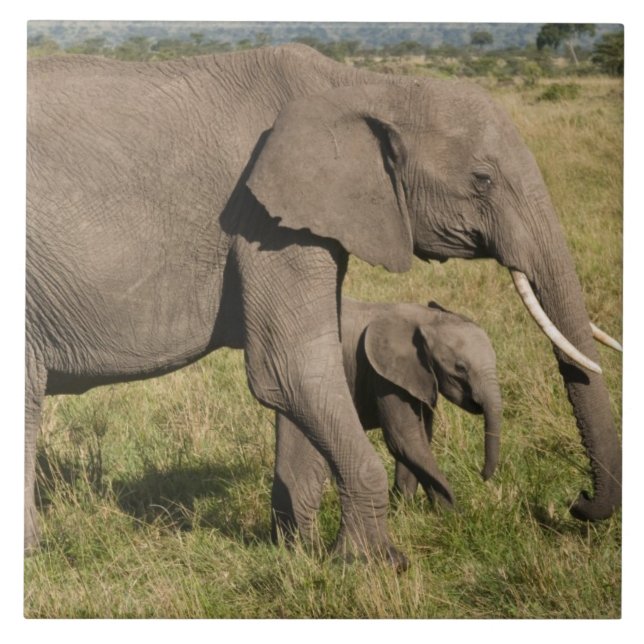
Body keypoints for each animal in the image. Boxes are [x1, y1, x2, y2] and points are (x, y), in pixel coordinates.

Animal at [271, 298, 502, 543]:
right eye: (460, 368)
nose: (481, 475)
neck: (425, 318)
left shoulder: (417, 377)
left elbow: (419, 437)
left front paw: (403, 509)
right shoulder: (383, 374)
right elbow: (403, 437)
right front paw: (452, 515)